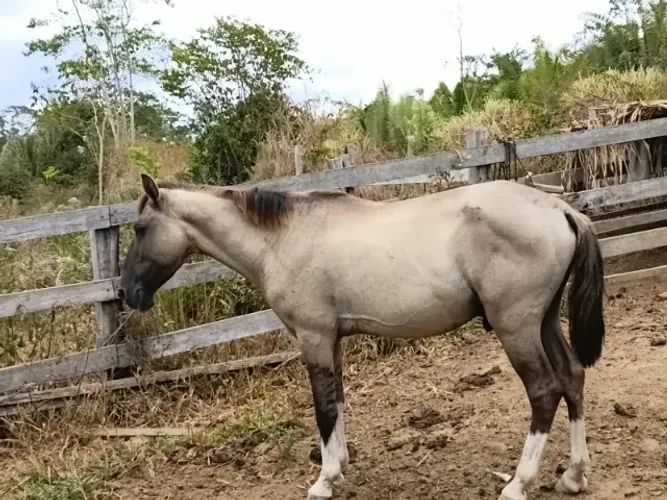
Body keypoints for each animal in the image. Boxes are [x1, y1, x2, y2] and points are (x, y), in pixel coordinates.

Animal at [118, 174, 605, 500]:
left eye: (140, 229)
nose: (125, 292)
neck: (284, 237)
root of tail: (560, 209)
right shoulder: (330, 339)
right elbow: (337, 401)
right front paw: (338, 467)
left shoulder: (313, 337)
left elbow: (322, 407)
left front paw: (323, 481)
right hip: (544, 322)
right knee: (573, 378)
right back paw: (574, 475)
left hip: (516, 327)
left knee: (544, 391)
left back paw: (519, 483)